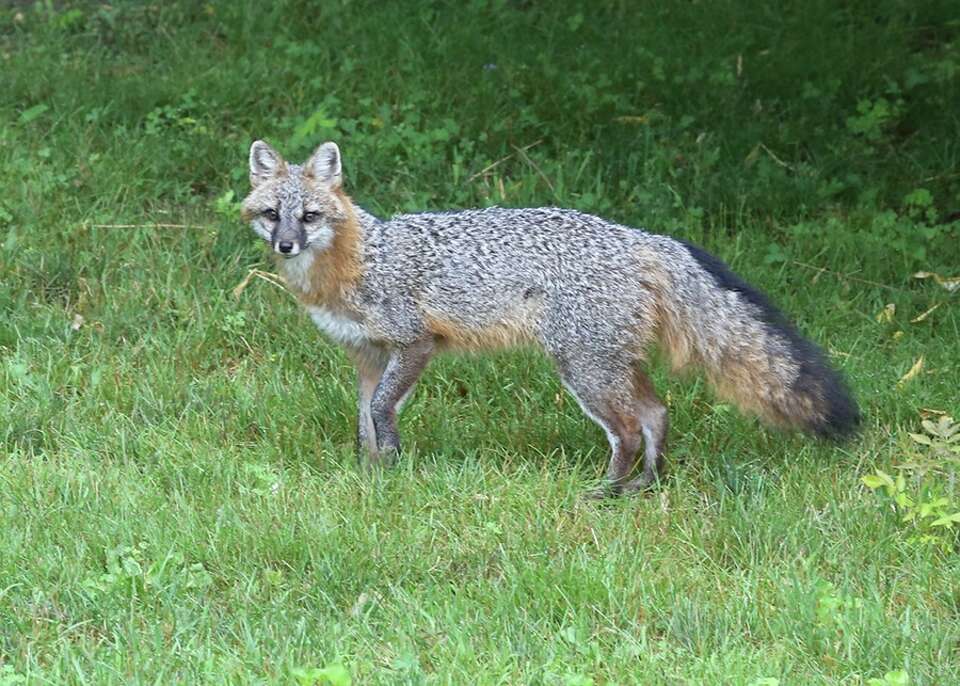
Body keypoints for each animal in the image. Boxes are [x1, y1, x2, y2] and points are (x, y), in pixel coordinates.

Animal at [241, 140, 860, 496]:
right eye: (272, 214)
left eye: (310, 216)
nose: (286, 246)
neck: (361, 258)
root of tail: (640, 237)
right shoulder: (367, 356)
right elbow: (363, 420)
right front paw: (372, 477)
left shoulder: (415, 343)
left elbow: (380, 412)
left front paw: (391, 468)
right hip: (611, 365)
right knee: (658, 413)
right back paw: (646, 488)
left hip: (583, 369)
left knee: (629, 430)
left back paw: (604, 494)